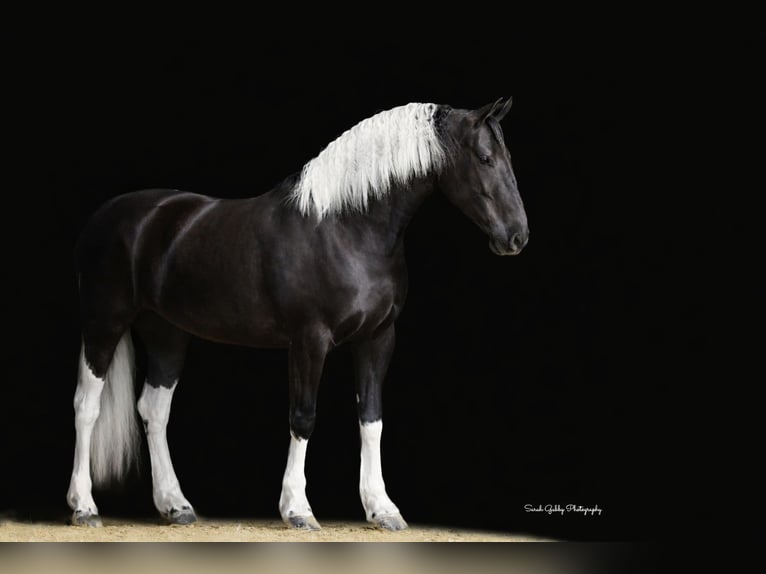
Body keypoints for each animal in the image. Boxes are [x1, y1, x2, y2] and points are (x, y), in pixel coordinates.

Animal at [66, 97, 528, 531]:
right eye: (484, 158)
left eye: (508, 156)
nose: (517, 237)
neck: (347, 228)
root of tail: (108, 216)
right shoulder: (310, 339)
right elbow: (303, 417)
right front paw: (297, 509)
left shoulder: (378, 337)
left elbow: (371, 419)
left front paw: (382, 509)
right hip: (104, 323)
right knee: (87, 406)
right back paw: (84, 506)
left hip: (167, 333)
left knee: (154, 410)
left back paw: (175, 505)